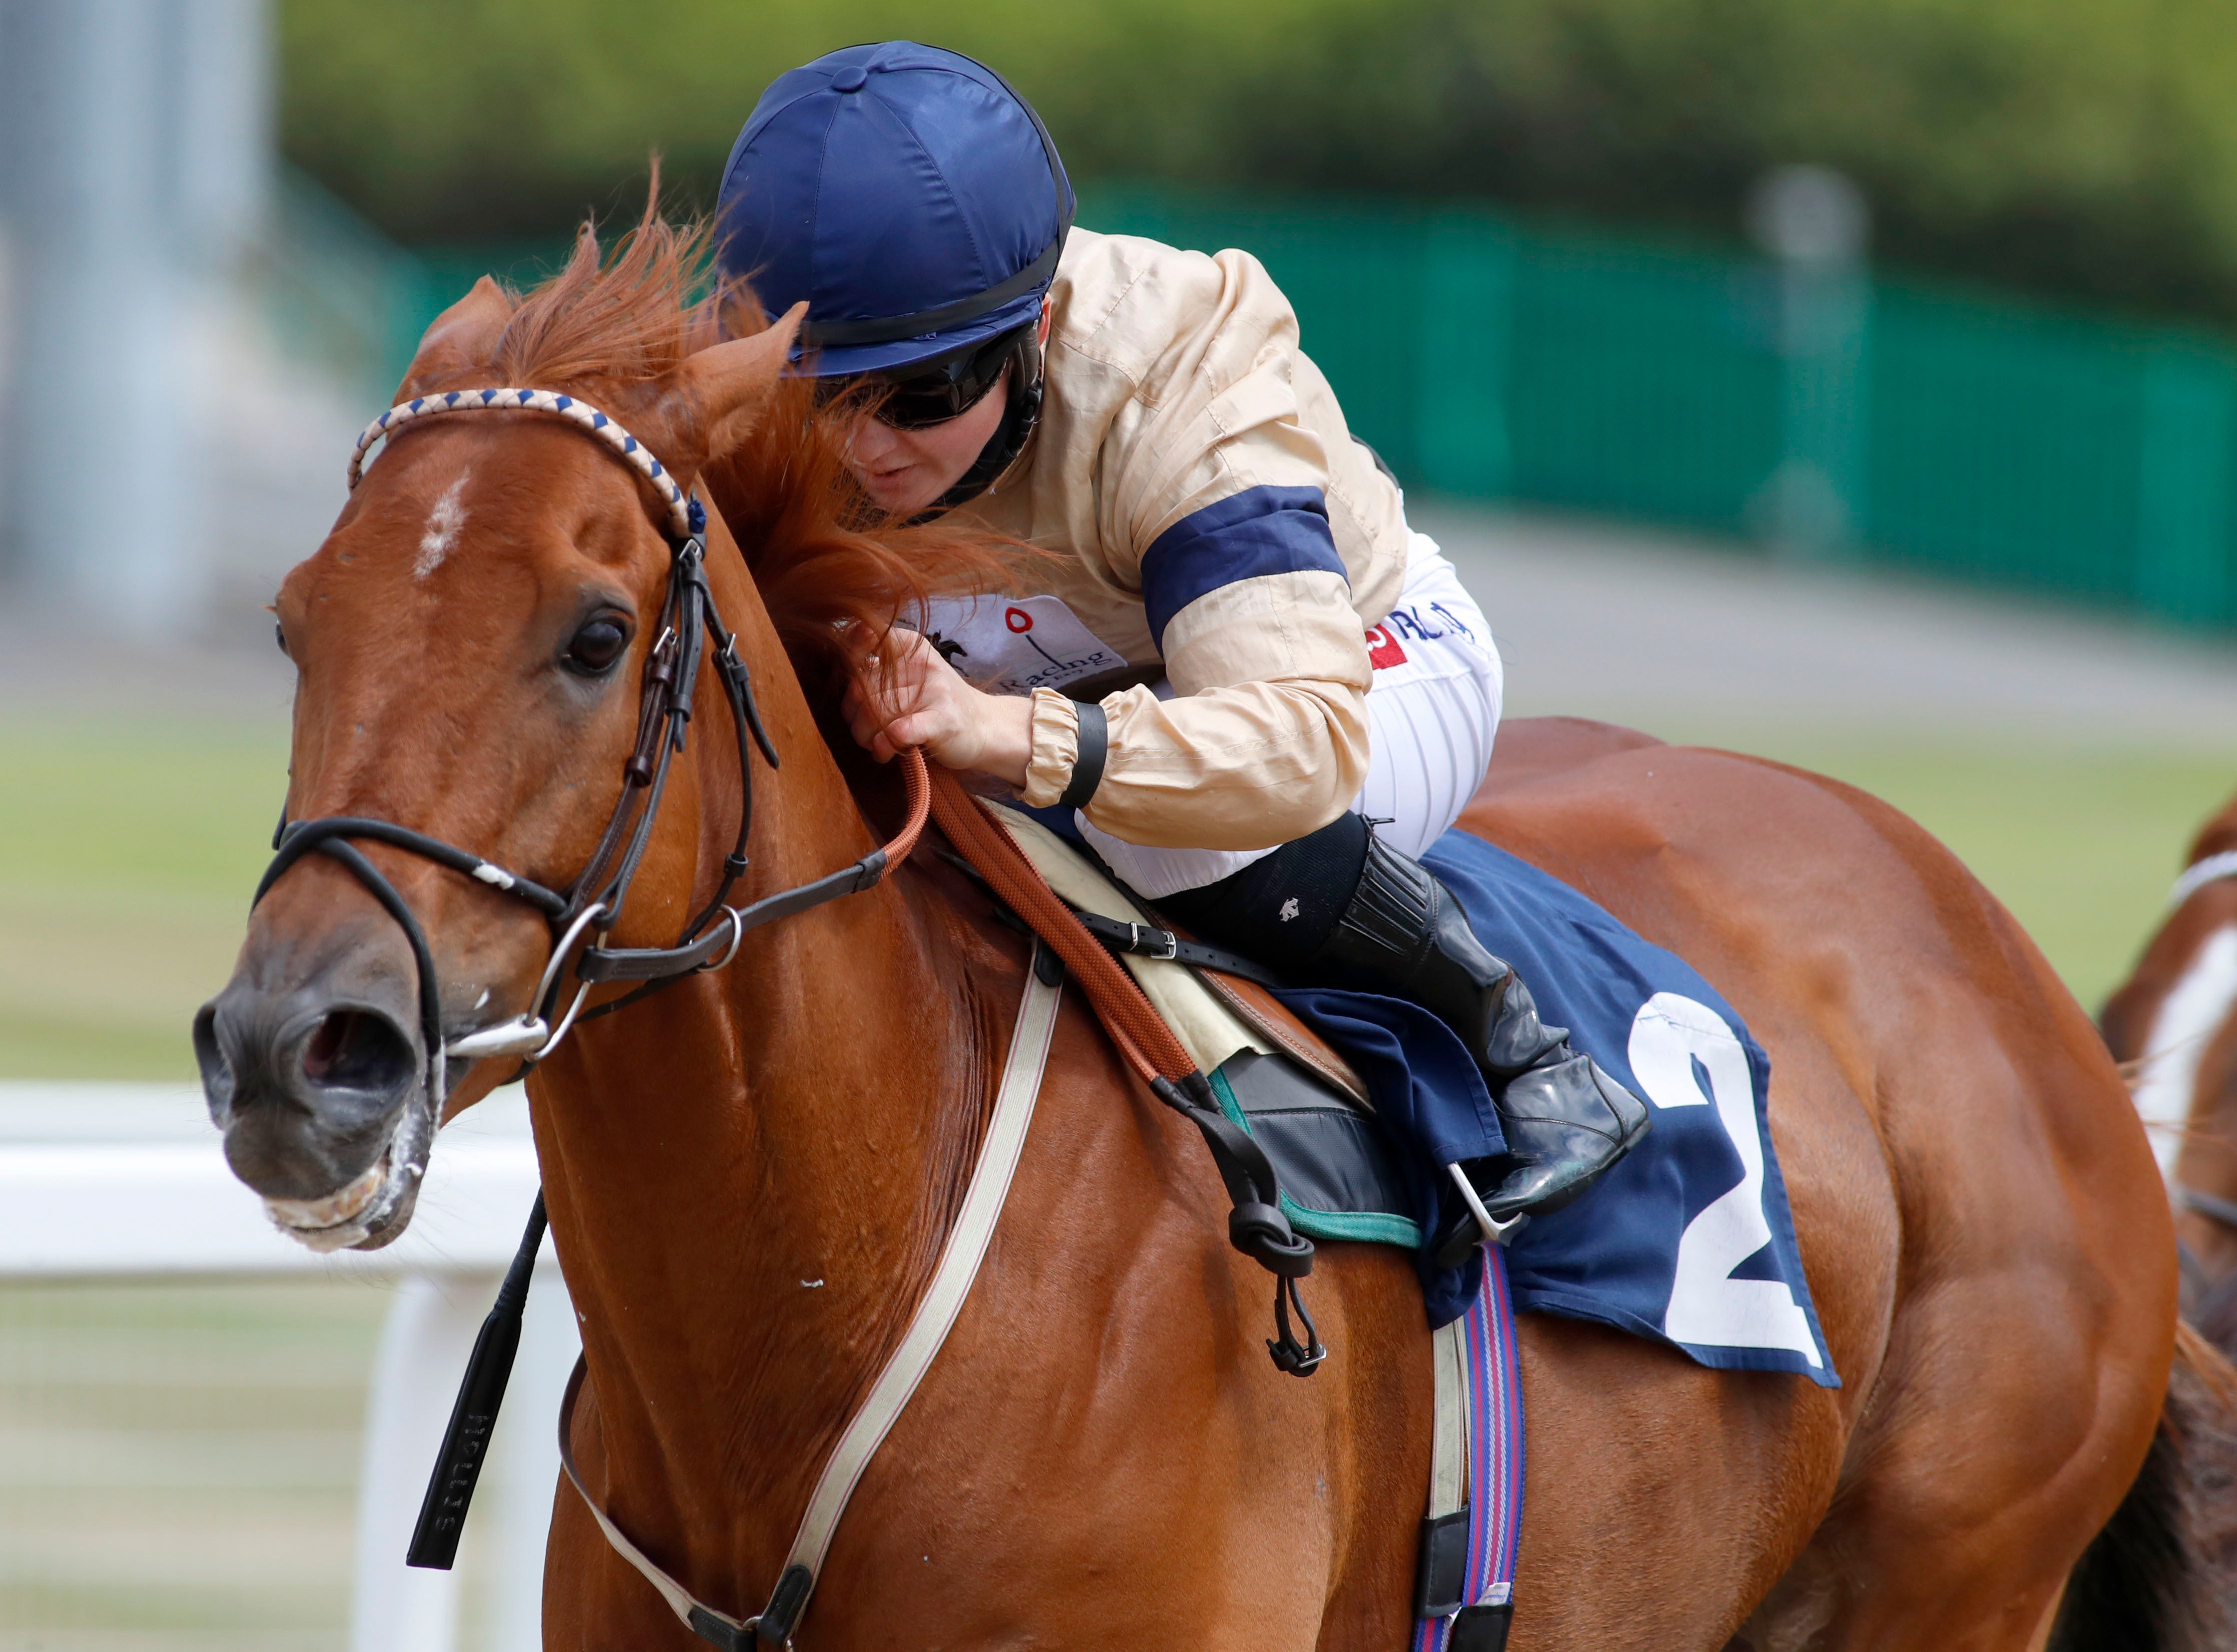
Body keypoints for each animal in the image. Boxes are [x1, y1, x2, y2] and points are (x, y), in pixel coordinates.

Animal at [205, 213, 2201, 1645]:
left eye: (596, 632)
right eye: (298, 621)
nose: (297, 1054)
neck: (824, 1305)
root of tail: (2006, 968)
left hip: (1946, 1577)